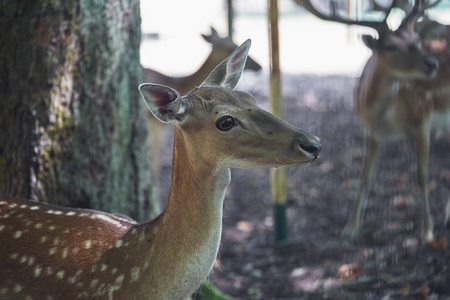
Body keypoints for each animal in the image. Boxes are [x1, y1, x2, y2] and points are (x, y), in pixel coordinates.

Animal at [296, 0, 450, 240]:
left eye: (416, 40)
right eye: (391, 47)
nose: (432, 63)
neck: (388, 119)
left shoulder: (422, 119)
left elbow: (422, 176)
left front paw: (427, 230)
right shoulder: (372, 130)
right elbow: (365, 177)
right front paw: (351, 227)